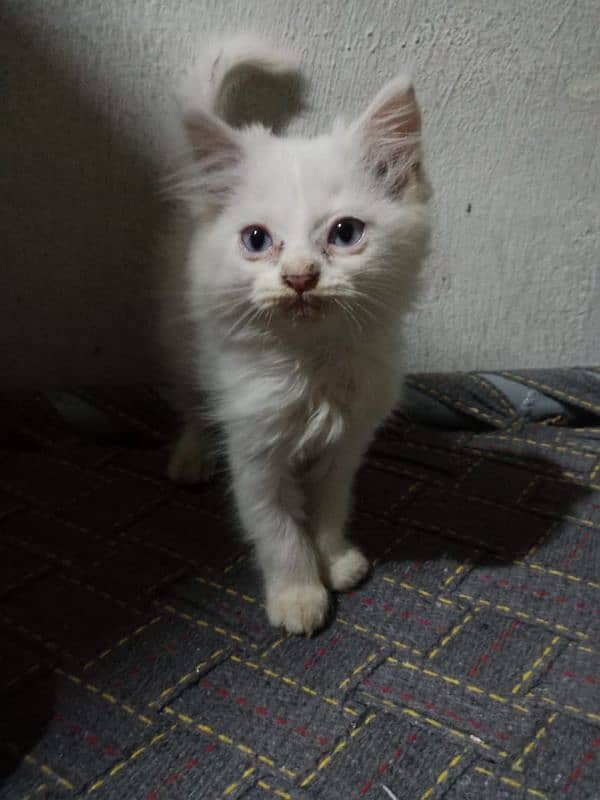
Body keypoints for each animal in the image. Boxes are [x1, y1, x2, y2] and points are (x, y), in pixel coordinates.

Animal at [162, 37, 428, 636]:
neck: (311, 367)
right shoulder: (254, 450)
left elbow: (329, 506)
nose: (301, 276)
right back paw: (191, 456)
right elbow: (277, 529)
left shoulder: (348, 442)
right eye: (257, 241)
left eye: (345, 233)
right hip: (184, 344)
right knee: (192, 402)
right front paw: (298, 595)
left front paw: (335, 560)